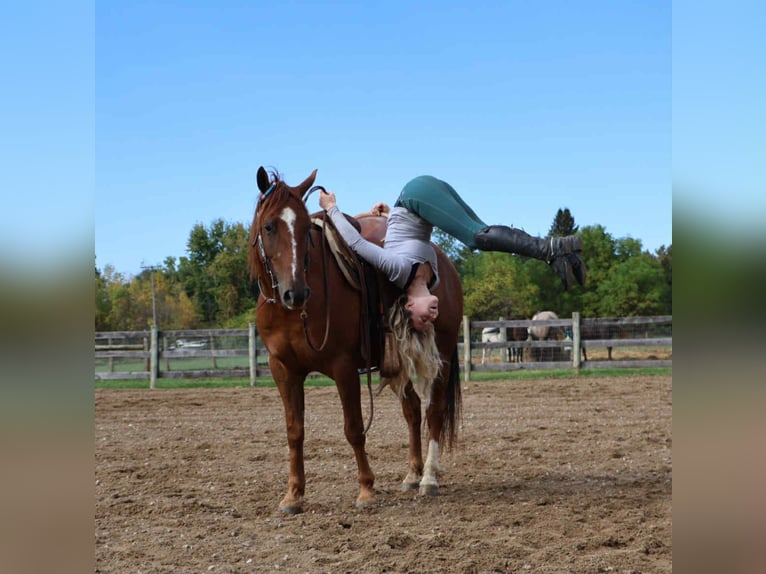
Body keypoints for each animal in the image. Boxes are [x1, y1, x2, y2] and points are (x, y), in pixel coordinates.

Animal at [248, 167, 463, 514]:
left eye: (306, 228)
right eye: (269, 226)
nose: (296, 292)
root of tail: (445, 264)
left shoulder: (343, 367)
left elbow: (354, 429)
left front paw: (366, 490)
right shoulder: (282, 369)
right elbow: (295, 431)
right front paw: (293, 495)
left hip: (441, 352)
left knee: (434, 410)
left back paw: (429, 478)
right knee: (413, 412)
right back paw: (412, 475)